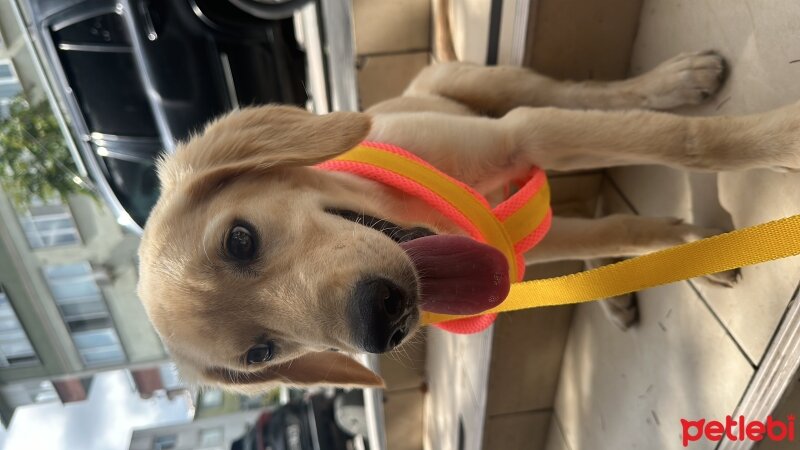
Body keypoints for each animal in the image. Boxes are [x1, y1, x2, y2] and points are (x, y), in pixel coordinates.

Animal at [139, 51, 800, 390]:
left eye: (239, 240)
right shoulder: (512, 245)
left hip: (490, 85)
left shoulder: (522, 135)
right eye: (260, 354)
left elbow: (693, 143)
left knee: (583, 92)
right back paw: (611, 286)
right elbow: (624, 227)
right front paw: (696, 246)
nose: (382, 321)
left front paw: (778, 139)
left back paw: (676, 80)